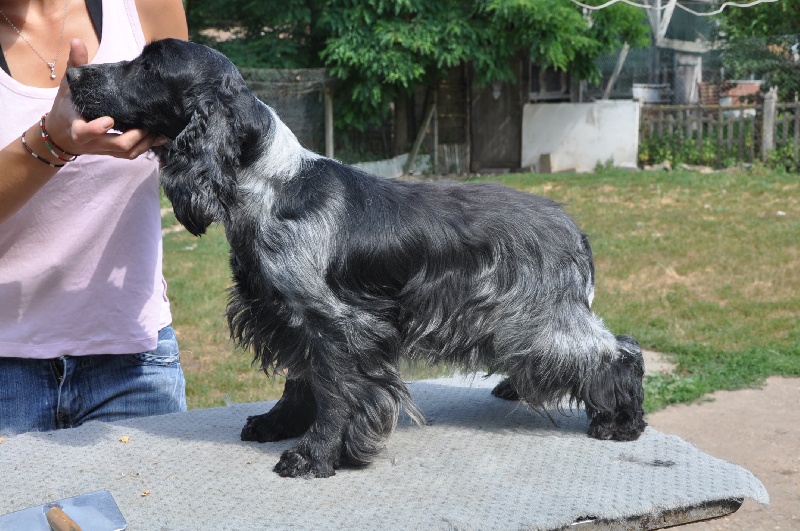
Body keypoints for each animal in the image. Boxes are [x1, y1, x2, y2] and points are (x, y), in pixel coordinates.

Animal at [67, 39, 646, 478]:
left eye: (149, 64)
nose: (72, 73)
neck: (270, 185)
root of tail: (573, 229)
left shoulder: (337, 323)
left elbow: (336, 394)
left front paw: (313, 455)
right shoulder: (290, 316)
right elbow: (300, 382)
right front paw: (277, 423)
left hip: (541, 316)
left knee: (619, 351)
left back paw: (620, 420)